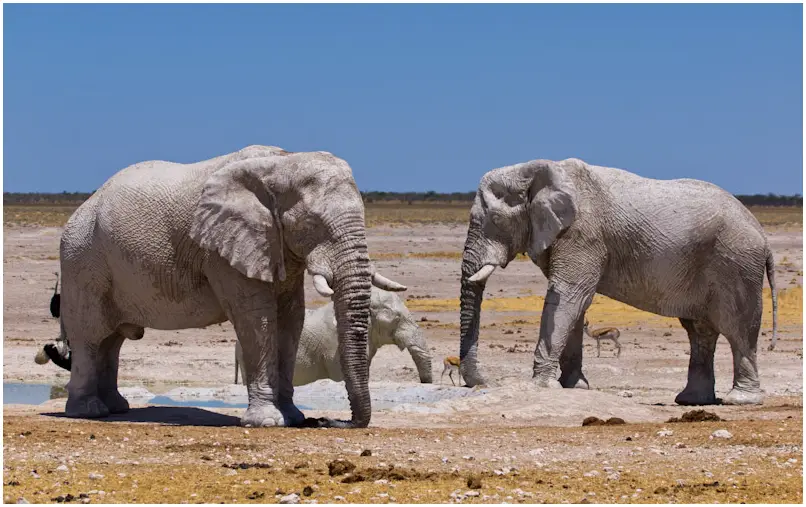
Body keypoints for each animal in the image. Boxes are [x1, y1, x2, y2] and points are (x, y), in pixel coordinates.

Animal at [41, 145, 406, 428]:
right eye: (312, 222)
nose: (333, 421)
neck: (282, 163)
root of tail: (81, 209)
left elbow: (291, 318)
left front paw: (293, 417)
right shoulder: (222, 249)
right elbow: (256, 318)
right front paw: (267, 422)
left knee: (112, 341)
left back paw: (117, 408)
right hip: (82, 261)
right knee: (90, 336)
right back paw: (89, 412)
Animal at [458, 157, 778, 406]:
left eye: (496, 220)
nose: (483, 382)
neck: (536, 170)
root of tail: (762, 234)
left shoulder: (583, 234)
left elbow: (569, 297)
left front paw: (541, 387)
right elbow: (575, 305)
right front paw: (574, 387)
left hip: (736, 263)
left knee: (737, 329)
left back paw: (741, 400)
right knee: (700, 332)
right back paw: (691, 400)